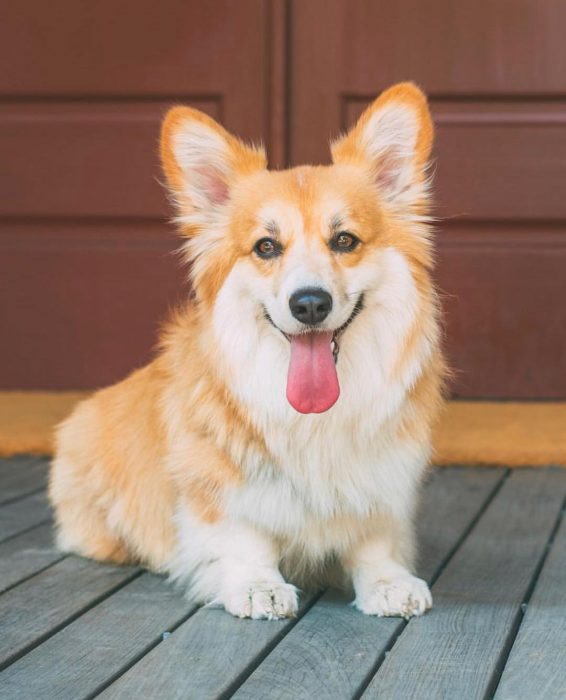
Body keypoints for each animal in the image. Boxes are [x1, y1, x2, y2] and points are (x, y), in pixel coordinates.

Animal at [48, 80, 446, 616]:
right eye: (265, 247)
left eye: (344, 240)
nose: (310, 304)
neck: (313, 420)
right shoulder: (216, 482)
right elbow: (242, 535)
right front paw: (258, 586)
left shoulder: (382, 476)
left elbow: (374, 537)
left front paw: (387, 581)